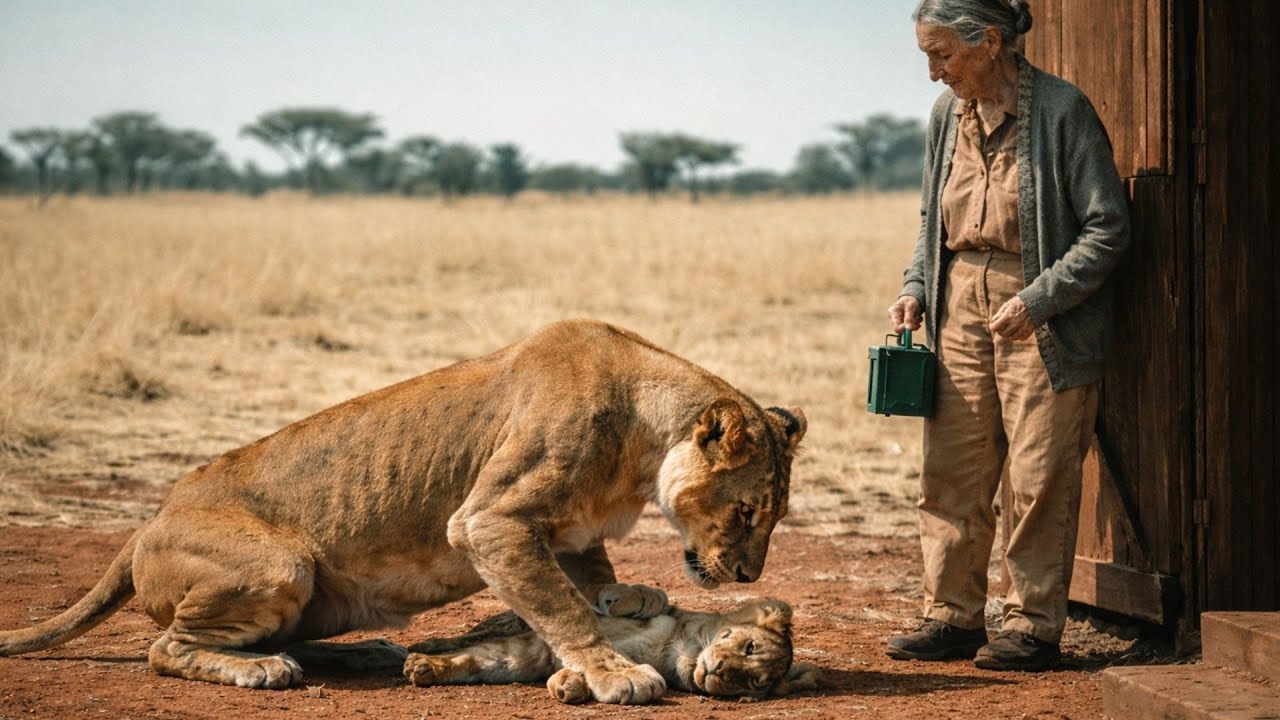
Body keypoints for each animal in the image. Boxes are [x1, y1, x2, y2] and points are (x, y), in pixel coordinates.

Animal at [402, 598, 821, 703]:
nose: (718, 670)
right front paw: (426, 665)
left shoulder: (534, 657)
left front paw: (567, 685)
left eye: (754, 682)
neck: (676, 654)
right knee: (467, 638)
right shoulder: (537, 643)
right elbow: (477, 656)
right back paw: (419, 652)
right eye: (748, 646)